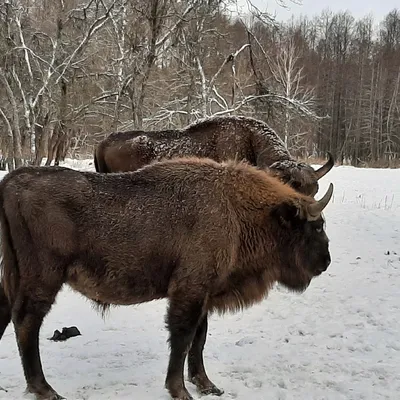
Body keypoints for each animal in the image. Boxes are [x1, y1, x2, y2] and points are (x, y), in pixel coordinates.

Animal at [0, 158, 334, 400]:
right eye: (316, 226)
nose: (326, 261)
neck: (235, 209)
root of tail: (12, 181)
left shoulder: (204, 294)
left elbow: (198, 339)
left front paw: (208, 386)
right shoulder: (189, 291)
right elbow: (182, 338)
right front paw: (180, 391)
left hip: (12, 276)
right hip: (43, 278)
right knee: (26, 322)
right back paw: (46, 390)